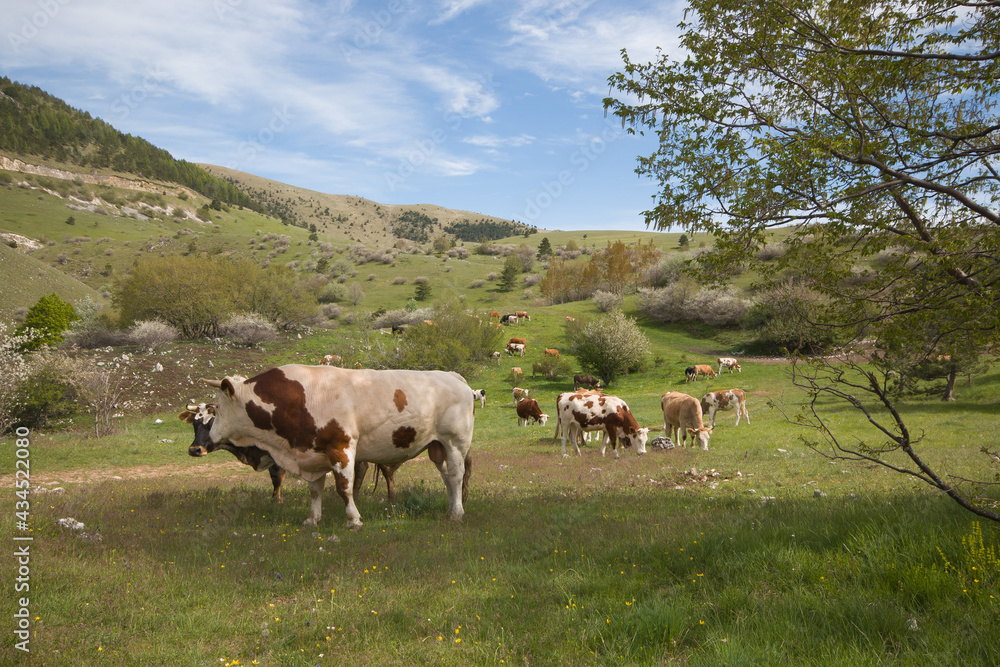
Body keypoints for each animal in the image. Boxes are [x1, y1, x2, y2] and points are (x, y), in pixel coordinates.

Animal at [200, 365, 474, 530]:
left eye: (218, 408)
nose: (209, 439)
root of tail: (452, 376)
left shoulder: (341, 448)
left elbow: (344, 488)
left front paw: (354, 520)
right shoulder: (311, 454)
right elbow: (315, 490)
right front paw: (312, 519)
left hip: (455, 442)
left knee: (456, 475)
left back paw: (458, 512)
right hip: (437, 446)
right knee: (447, 479)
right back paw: (452, 508)